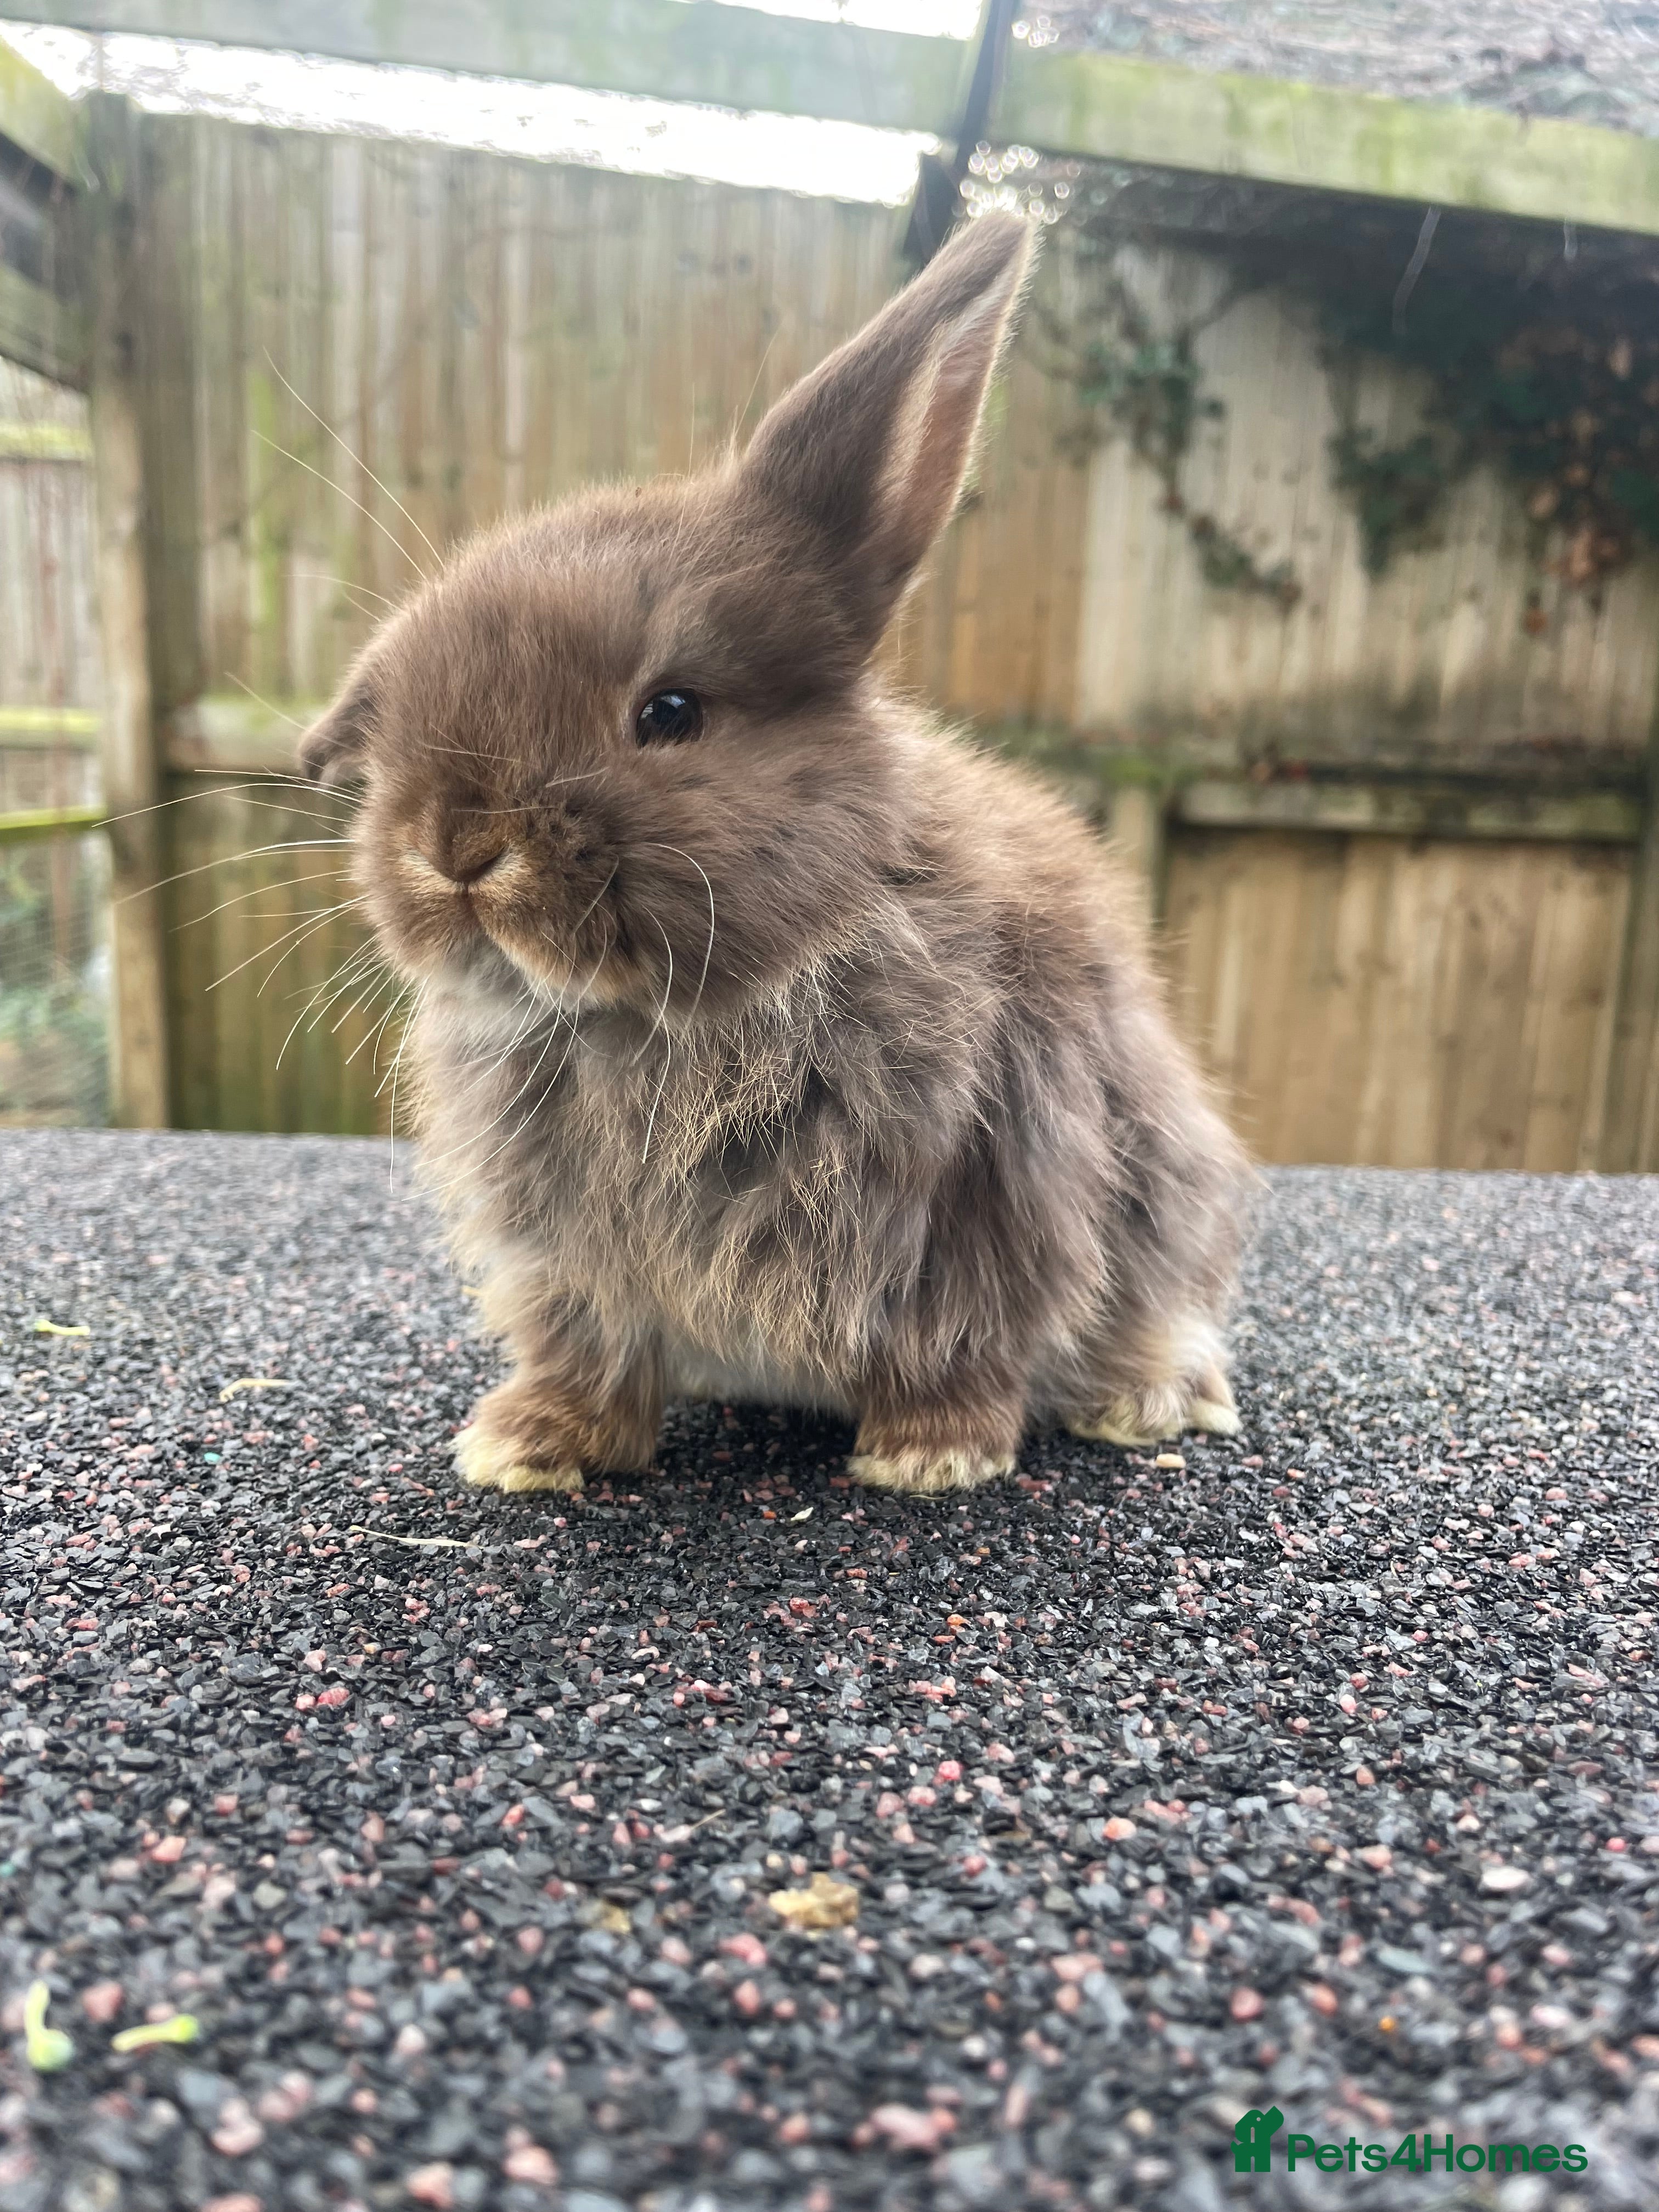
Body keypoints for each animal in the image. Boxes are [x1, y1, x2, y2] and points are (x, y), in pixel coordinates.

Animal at [298, 211, 1255, 1498]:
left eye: (670, 712)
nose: (455, 847)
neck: (654, 1020)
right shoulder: (572, 1261)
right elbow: (588, 1348)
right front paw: (529, 1446)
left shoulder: (989, 1187)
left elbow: (964, 1333)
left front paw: (931, 1454)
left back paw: (1148, 1398)